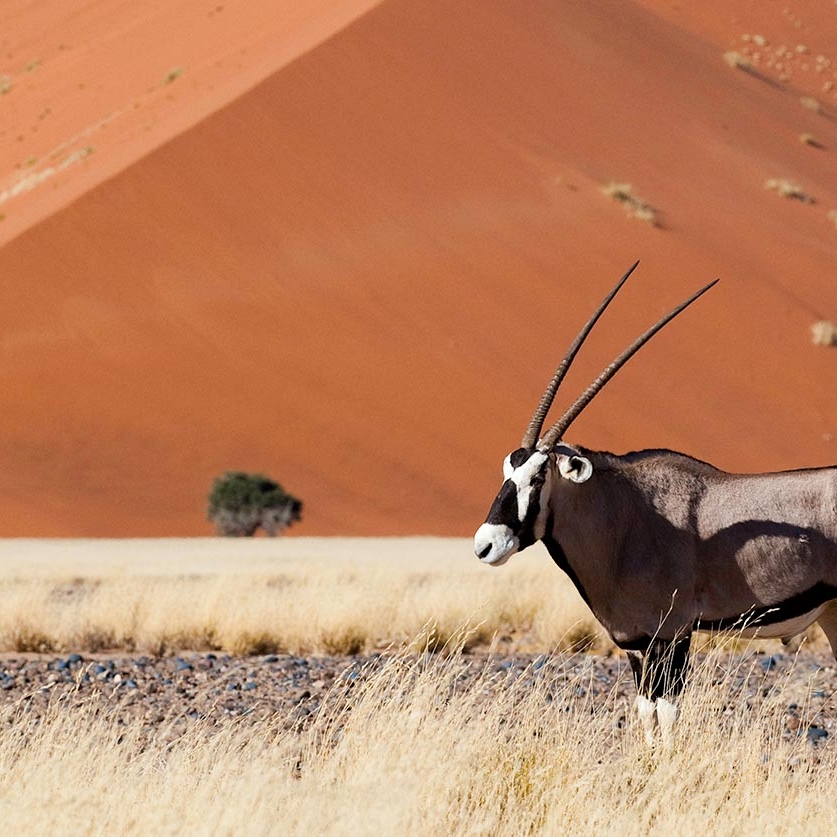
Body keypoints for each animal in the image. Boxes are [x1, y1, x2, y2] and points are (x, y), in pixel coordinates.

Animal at [474, 262, 836, 744]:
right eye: (506, 471)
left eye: (537, 475)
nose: (484, 545)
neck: (626, 519)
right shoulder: (636, 642)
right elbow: (645, 712)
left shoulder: (673, 636)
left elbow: (668, 714)